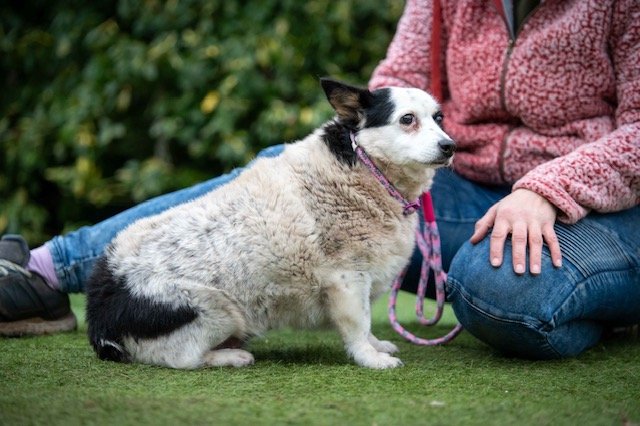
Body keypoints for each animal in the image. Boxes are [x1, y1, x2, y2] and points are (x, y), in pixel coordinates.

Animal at [85, 78, 455, 369]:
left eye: (438, 118)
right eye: (407, 119)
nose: (450, 146)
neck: (365, 168)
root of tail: (100, 308)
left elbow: (367, 325)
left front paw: (377, 346)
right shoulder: (347, 279)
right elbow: (358, 325)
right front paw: (371, 357)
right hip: (217, 309)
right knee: (180, 358)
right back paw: (230, 357)